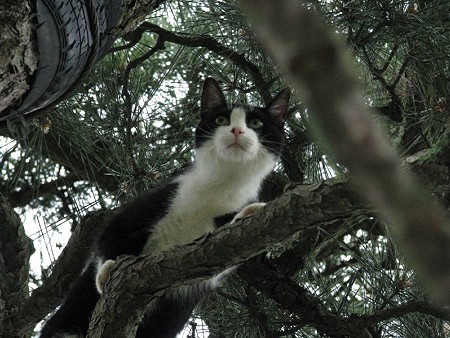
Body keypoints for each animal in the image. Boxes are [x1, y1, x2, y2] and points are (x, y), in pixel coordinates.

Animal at [40, 78, 290, 336]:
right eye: (221, 120)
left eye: (256, 123)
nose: (237, 130)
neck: (223, 183)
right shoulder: (158, 198)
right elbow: (109, 236)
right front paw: (107, 271)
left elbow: (219, 265)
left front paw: (248, 213)